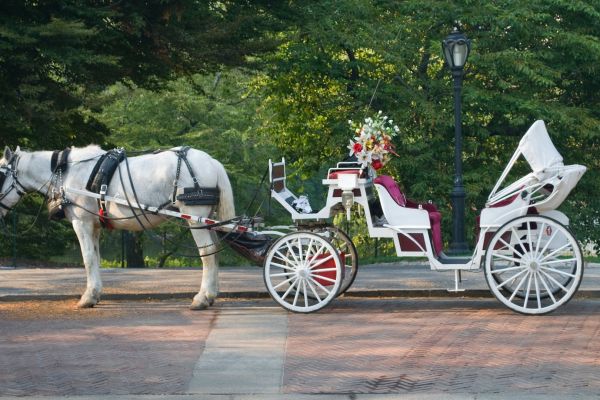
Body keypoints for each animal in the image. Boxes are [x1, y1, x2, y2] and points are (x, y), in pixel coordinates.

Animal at [0, 146, 234, 310]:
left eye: (0, 175)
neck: (65, 173)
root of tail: (211, 162)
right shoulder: (94, 226)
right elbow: (95, 258)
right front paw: (95, 293)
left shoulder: (82, 222)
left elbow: (87, 258)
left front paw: (87, 297)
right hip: (207, 219)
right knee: (215, 252)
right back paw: (211, 295)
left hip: (195, 218)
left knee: (207, 254)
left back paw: (202, 298)